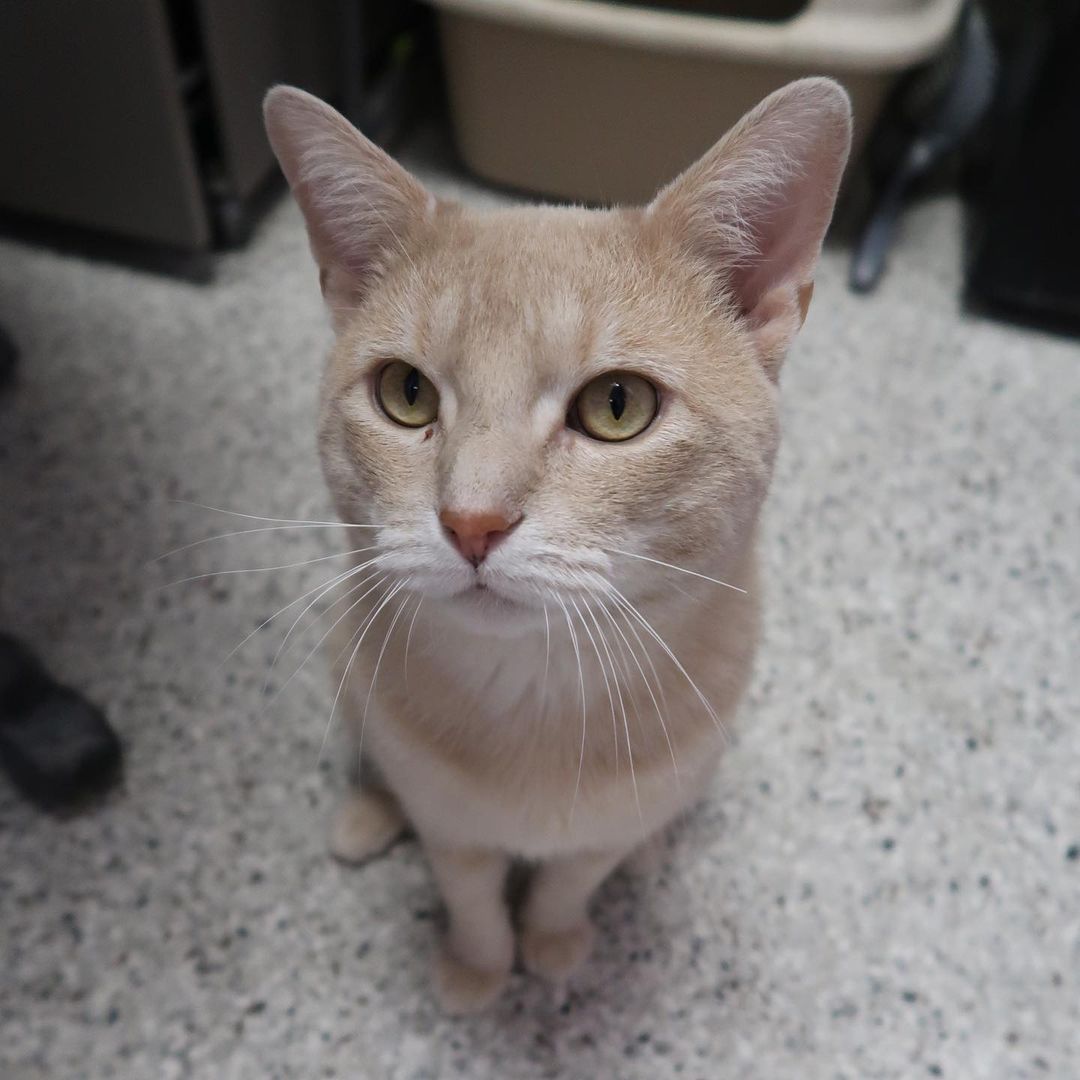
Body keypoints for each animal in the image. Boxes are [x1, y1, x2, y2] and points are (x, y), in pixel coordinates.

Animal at [263, 78, 851, 1010]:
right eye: (405, 393)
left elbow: (575, 875)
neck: (534, 701)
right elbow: (467, 888)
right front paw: (478, 965)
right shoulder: (452, 827)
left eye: (617, 405)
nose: (472, 520)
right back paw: (368, 814)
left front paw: (552, 938)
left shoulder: (609, 824)